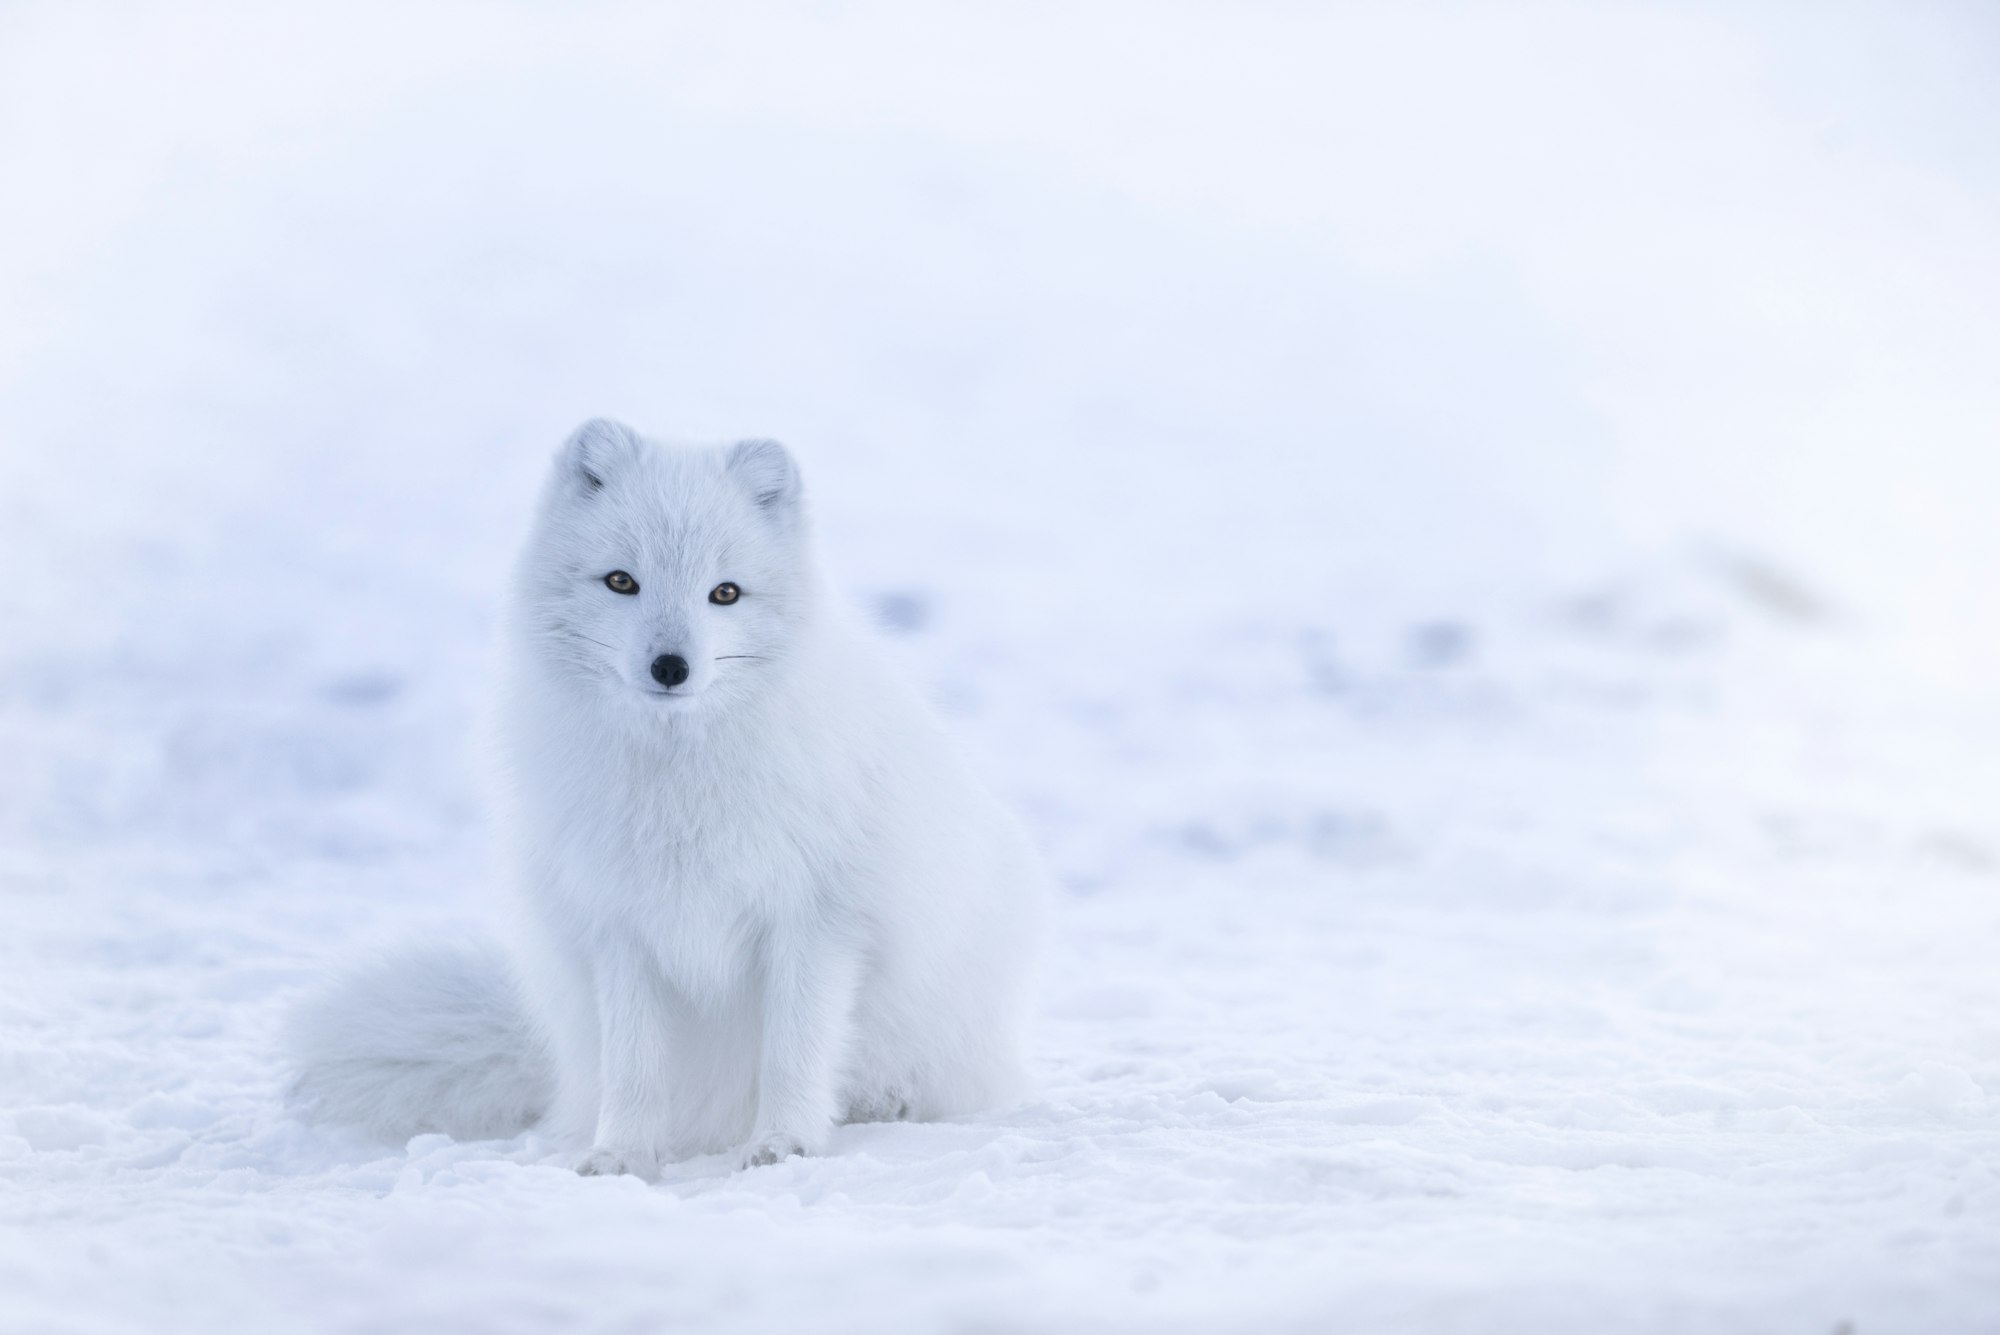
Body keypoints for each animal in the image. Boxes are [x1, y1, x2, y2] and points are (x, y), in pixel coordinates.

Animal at [296, 421, 1056, 1175]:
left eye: (725, 593)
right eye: (621, 581)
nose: (671, 666)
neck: (679, 779)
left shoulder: (815, 921)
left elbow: (794, 1050)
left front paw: (785, 1143)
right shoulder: (620, 926)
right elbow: (634, 1065)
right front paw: (623, 1154)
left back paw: (883, 1103)